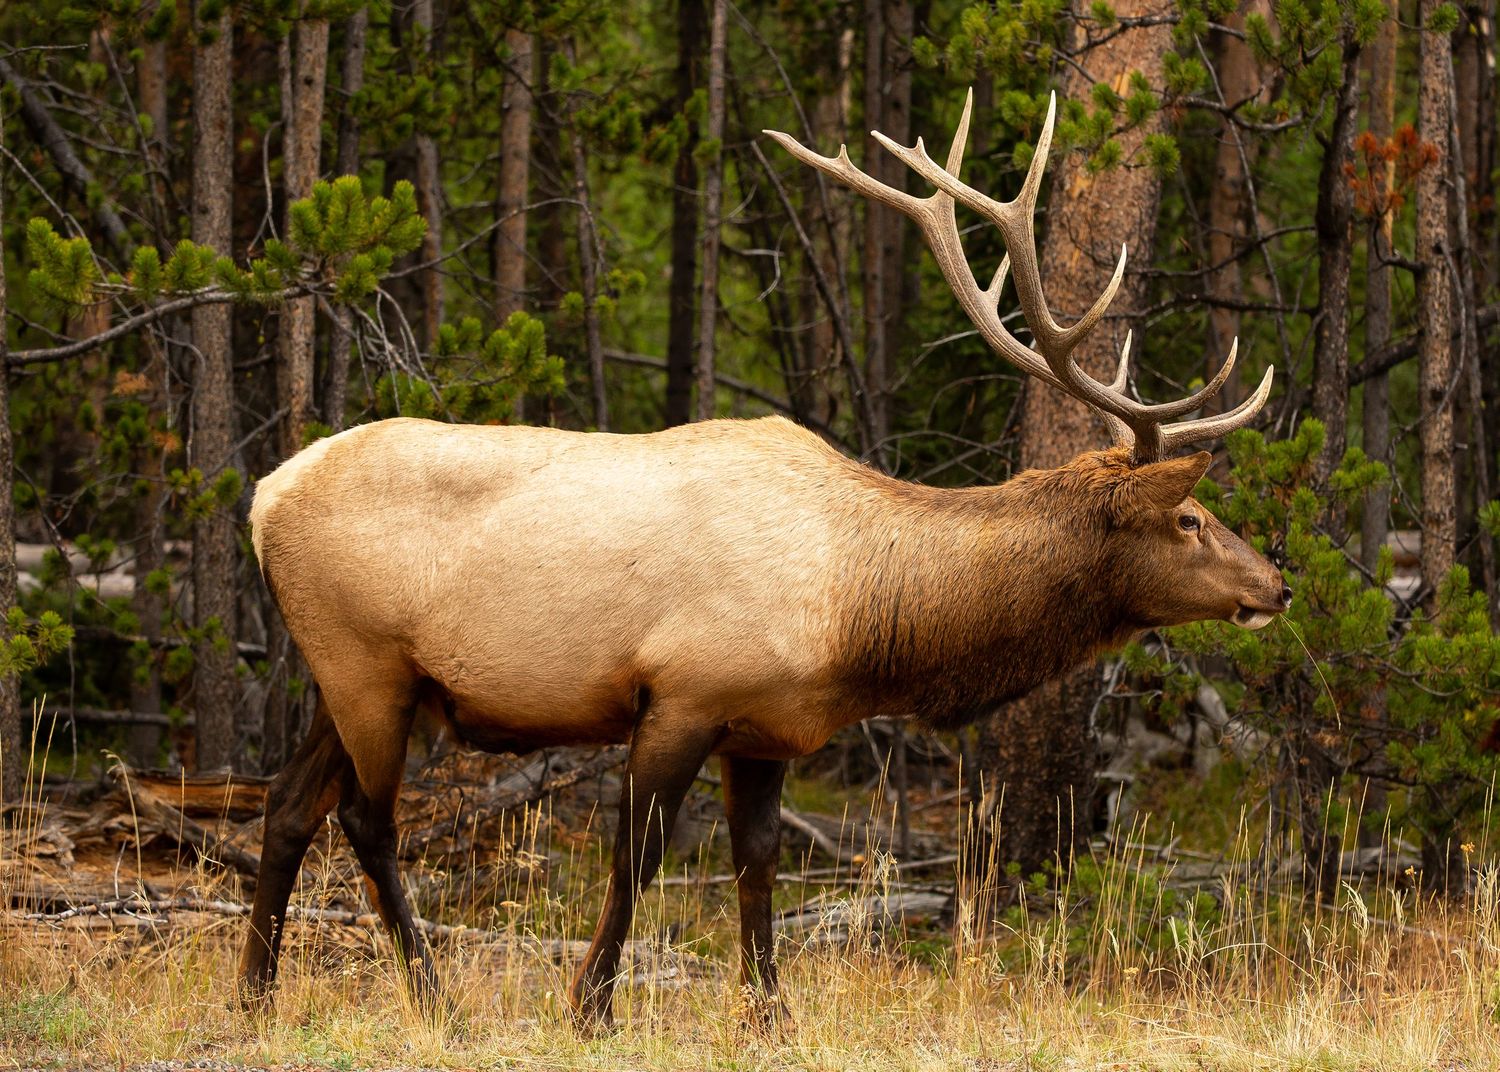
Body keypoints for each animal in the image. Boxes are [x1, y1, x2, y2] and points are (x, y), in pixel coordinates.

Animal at [239, 90, 1290, 1031]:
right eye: (1191, 517)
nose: (1277, 584)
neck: (862, 617)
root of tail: (262, 497)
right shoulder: (683, 693)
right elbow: (639, 859)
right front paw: (591, 1008)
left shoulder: (763, 727)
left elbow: (757, 867)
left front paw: (769, 1014)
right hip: (366, 663)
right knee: (364, 820)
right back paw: (432, 997)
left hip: (357, 675)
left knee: (288, 804)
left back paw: (255, 994)